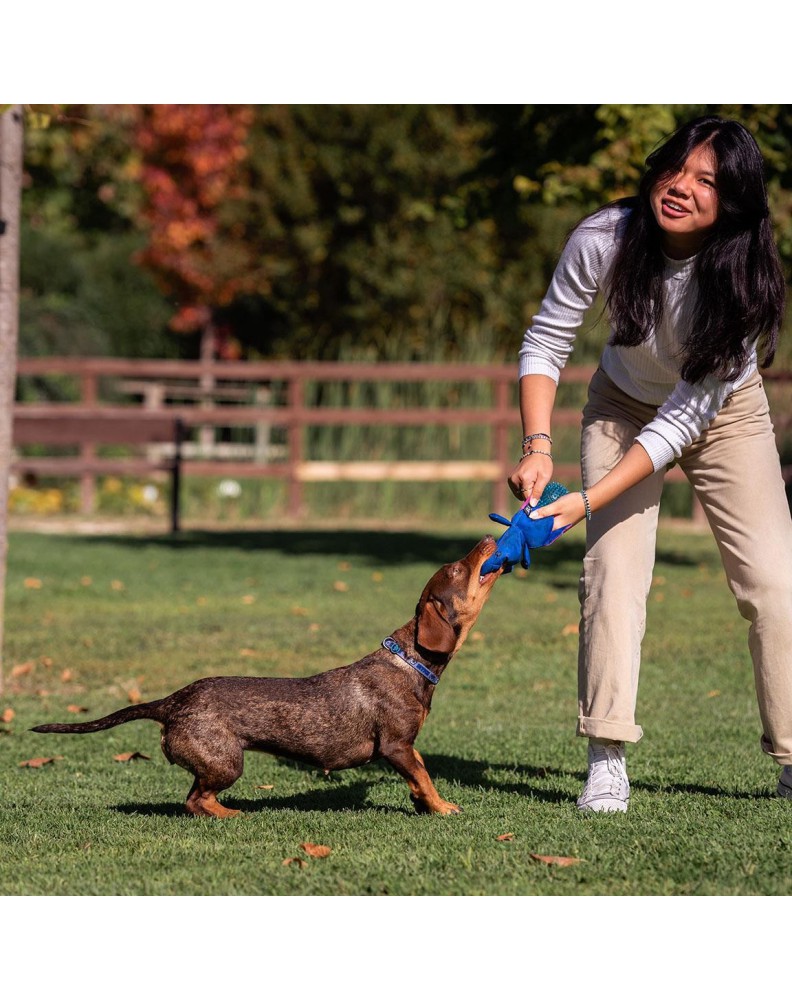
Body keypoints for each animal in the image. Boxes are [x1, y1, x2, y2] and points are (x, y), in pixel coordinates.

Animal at [34, 540, 502, 820]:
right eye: (456, 570)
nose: (488, 539)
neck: (411, 662)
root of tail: (171, 701)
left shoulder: (408, 747)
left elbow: (422, 774)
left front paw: (427, 803)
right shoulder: (395, 746)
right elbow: (423, 775)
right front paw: (441, 808)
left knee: (193, 800)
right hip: (227, 761)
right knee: (195, 801)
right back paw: (232, 815)